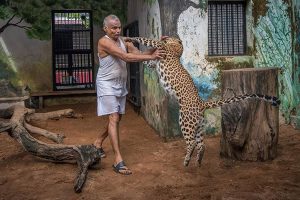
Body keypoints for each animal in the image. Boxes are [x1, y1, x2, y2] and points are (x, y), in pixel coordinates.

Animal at [126, 36, 278, 166]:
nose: (165, 36)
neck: (177, 49)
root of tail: (201, 103)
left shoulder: (161, 47)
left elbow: (147, 39)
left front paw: (129, 39)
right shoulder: (153, 61)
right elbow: (145, 60)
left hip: (184, 120)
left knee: (192, 142)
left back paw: (187, 160)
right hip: (199, 125)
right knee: (201, 144)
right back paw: (198, 161)